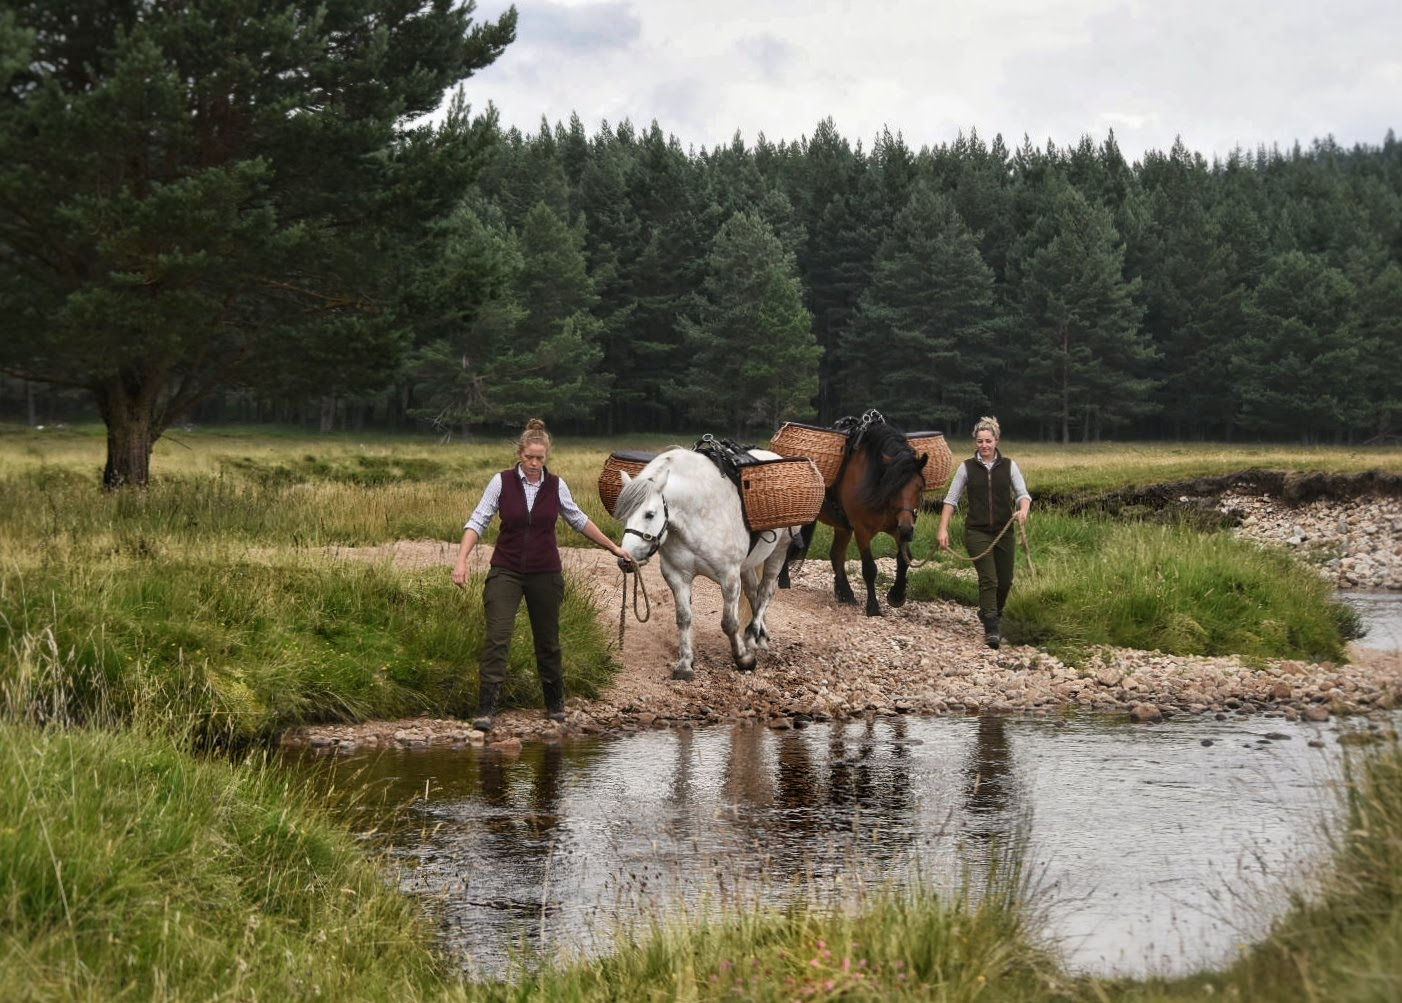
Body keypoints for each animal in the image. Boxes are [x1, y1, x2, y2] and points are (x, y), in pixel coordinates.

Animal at [615, 447, 802, 681]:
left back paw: (753, 636)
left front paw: (743, 658)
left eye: (650, 514)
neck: (697, 513)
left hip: (779, 550)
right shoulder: (677, 576)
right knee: (753, 593)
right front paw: (685, 664)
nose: (625, 559)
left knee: (766, 591)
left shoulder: (729, 577)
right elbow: (684, 618)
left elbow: (729, 623)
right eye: (624, 516)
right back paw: (759, 635)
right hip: (748, 565)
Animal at [783, 420, 928, 616]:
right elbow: (869, 568)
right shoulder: (862, 530)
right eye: (892, 485)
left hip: (842, 526)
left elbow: (904, 559)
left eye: (920, 487)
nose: (907, 530)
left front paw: (897, 595)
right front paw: (873, 607)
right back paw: (783, 580)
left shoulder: (896, 527)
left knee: (836, 555)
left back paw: (845, 594)